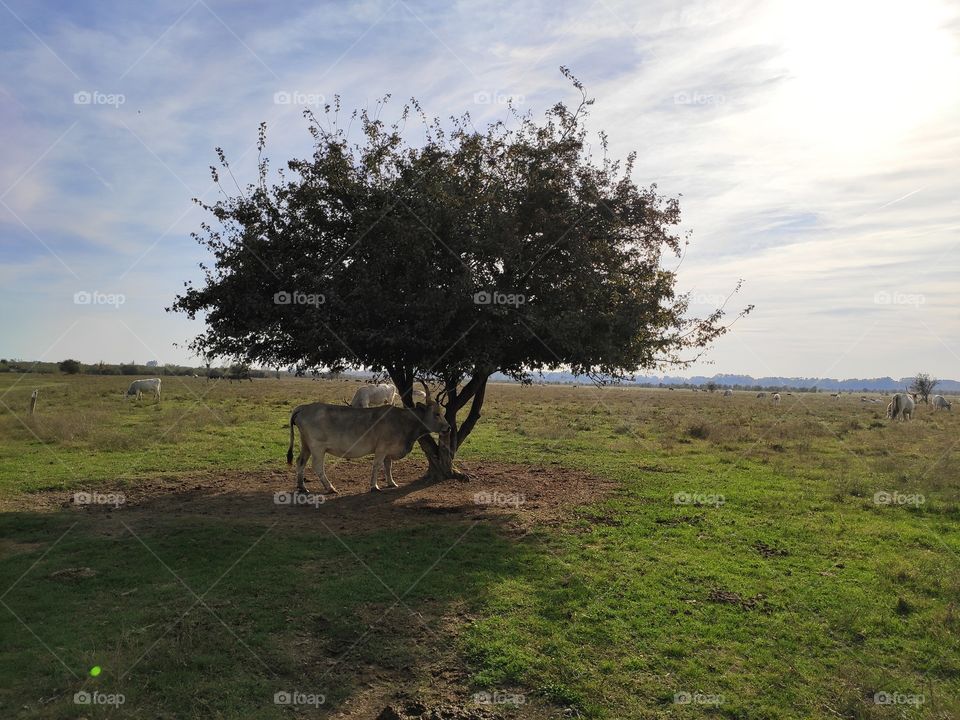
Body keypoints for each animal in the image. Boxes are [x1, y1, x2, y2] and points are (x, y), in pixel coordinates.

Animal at [287, 395, 451, 493]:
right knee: (317, 466)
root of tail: (305, 407)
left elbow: (388, 466)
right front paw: (374, 486)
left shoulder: (389, 450)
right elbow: (377, 465)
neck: (403, 421)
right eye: (436, 414)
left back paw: (302, 487)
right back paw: (330, 487)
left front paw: (392, 483)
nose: (448, 427)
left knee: (300, 461)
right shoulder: (381, 448)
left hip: (306, 445)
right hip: (318, 448)